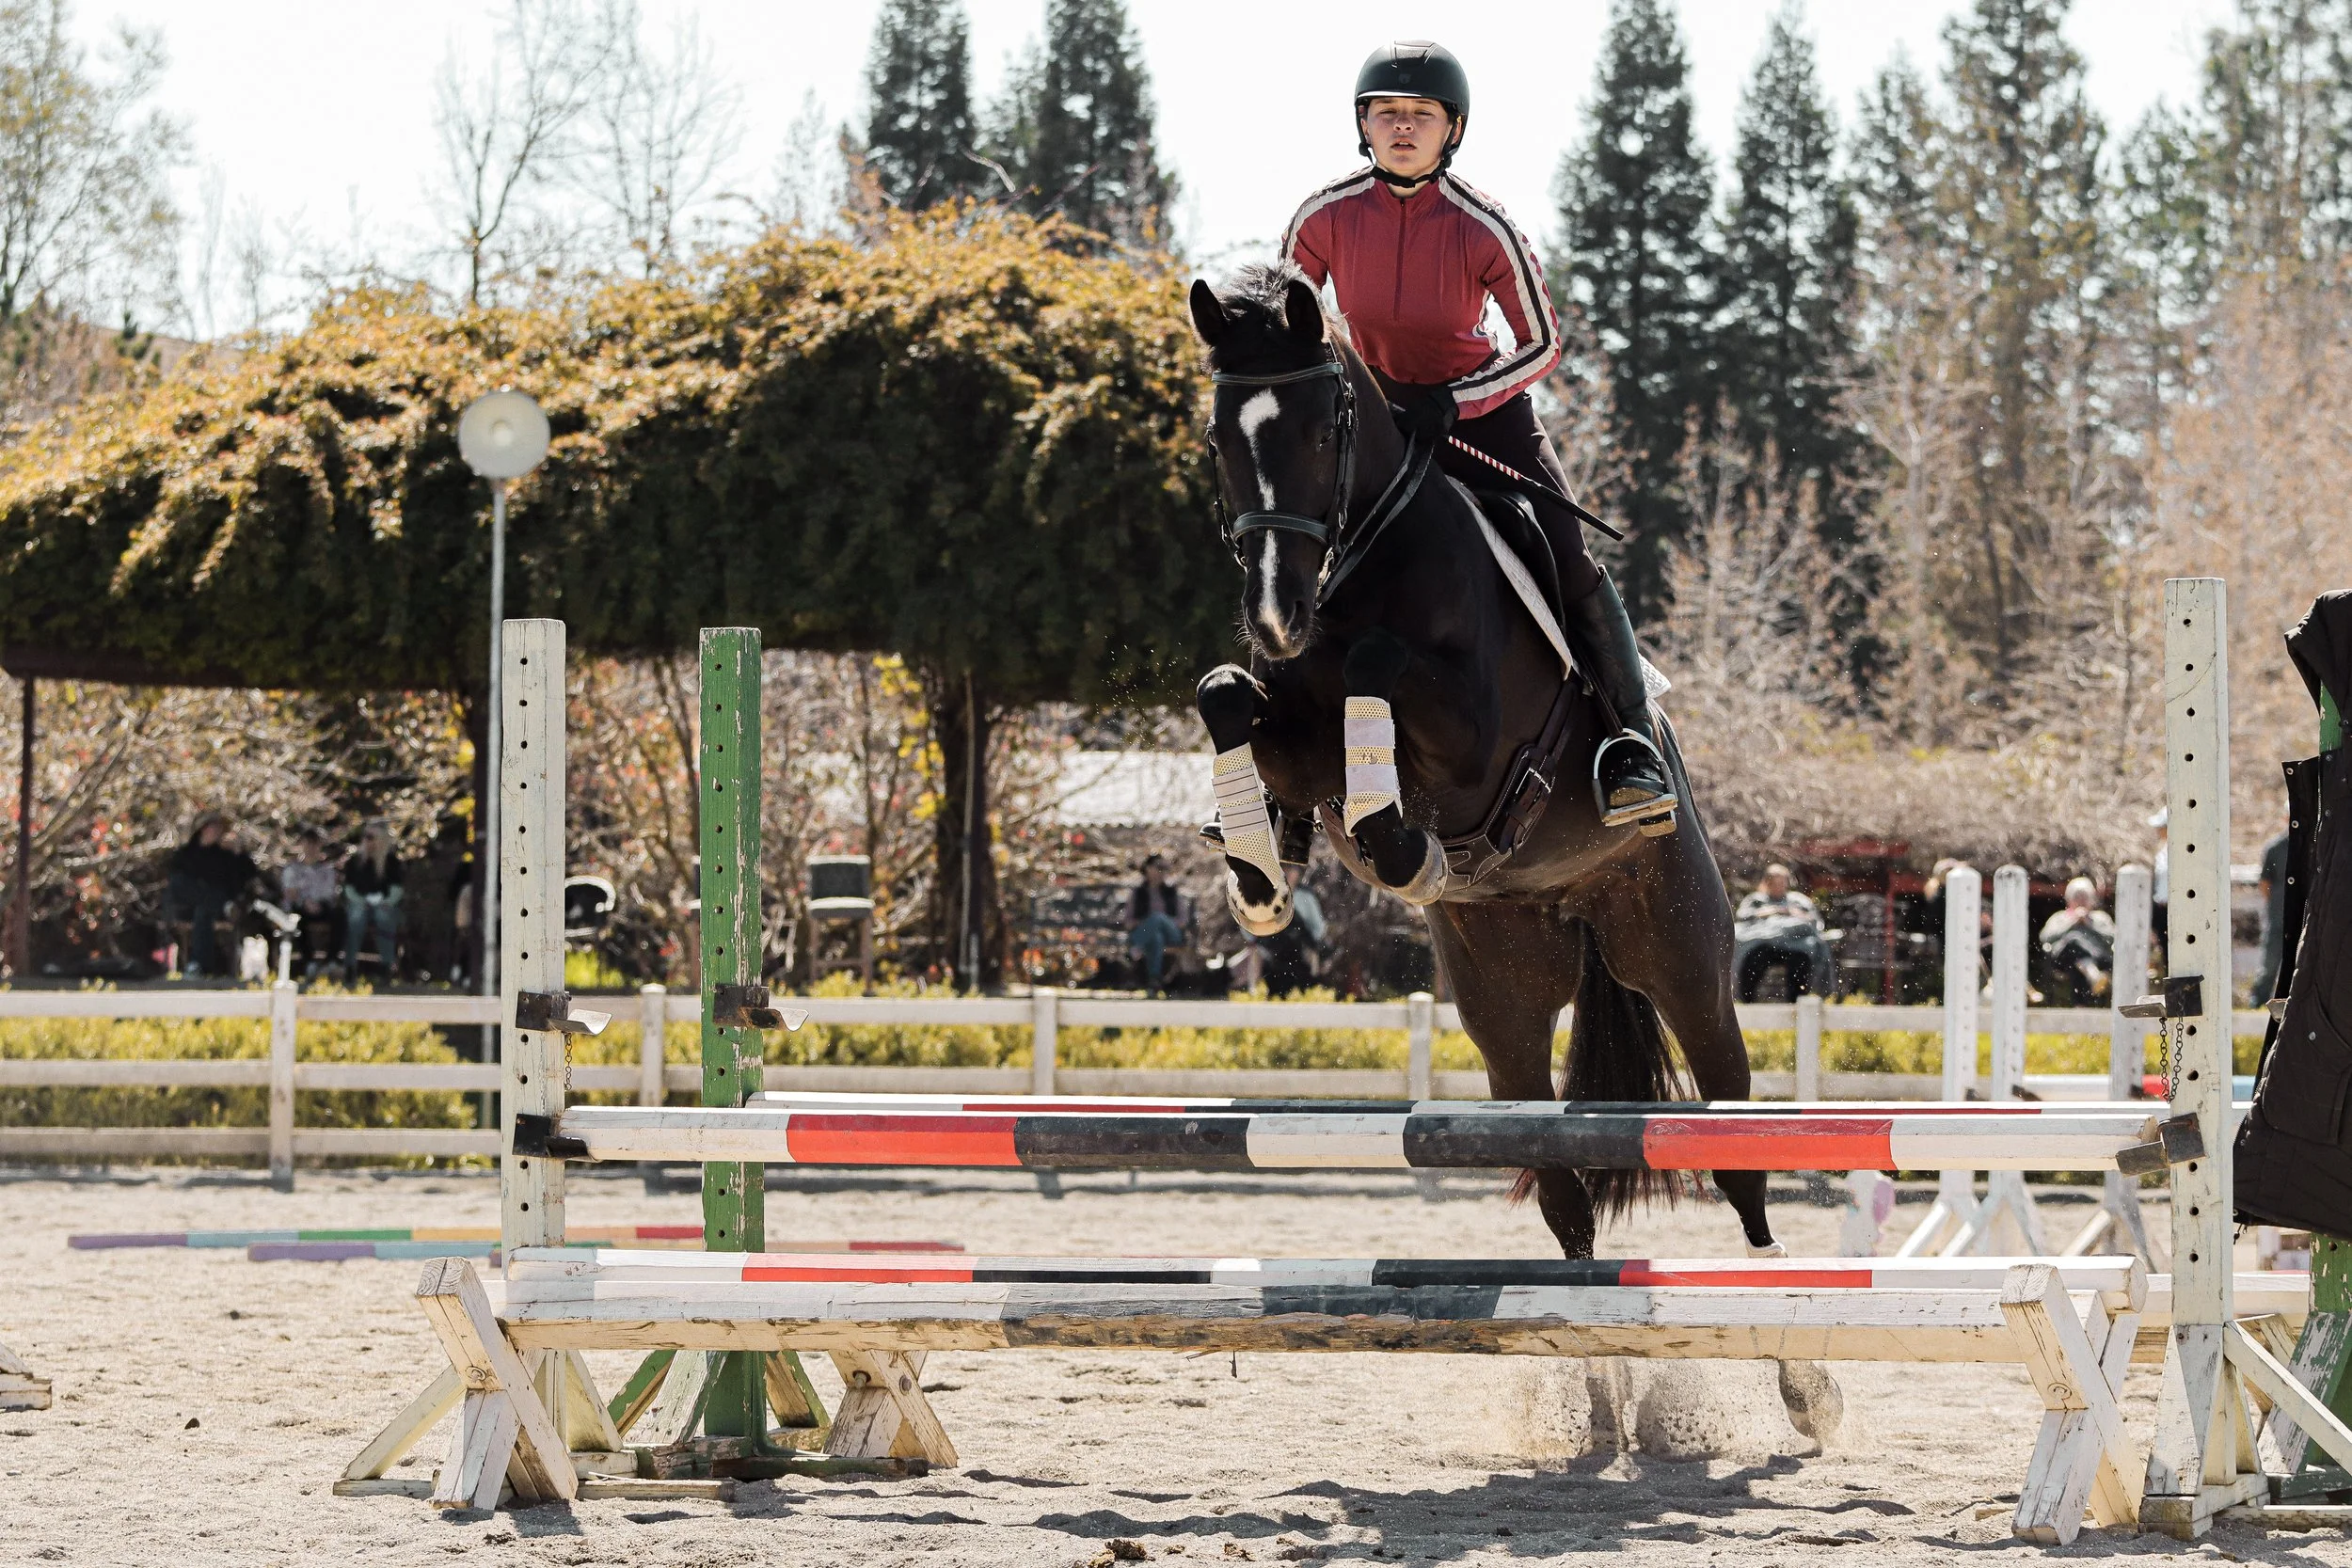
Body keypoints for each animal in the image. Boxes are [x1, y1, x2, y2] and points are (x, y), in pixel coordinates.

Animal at [1187, 264, 1779, 1264]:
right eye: (1220, 439)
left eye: (1320, 432)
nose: (1276, 615)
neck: (1362, 566)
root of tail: (1575, 901)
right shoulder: (1292, 732)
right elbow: (1227, 693)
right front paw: (1261, 875)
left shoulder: (1475, 742)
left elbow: (1378, 670)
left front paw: (1404, 849)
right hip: (1504, 1002)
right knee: (1562, 1189)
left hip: (1684, 952)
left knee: (1736, 1140)